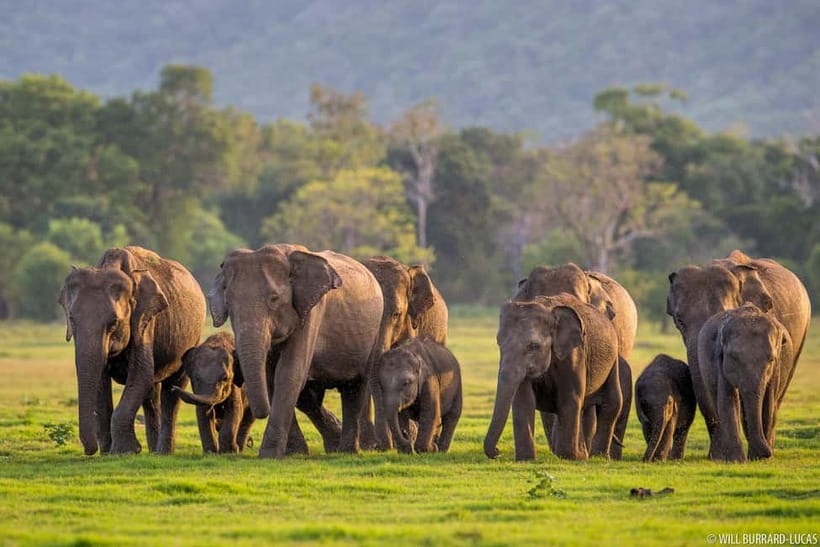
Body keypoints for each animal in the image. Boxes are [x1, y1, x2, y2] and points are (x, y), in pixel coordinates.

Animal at [58, 246, 206, 455]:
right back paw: (153, 452)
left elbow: (140, 375)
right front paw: (108, 453)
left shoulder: (145, 320)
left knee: (172, 388)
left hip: (193, 337)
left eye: (113, 322)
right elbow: (101, 382)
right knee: (152, 393)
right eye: (72, 319)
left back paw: (162, 452)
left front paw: (125, 452)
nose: (90, 450)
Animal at [208, 244, 383, 458]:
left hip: (373, 334)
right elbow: (271, 377)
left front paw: (269, 455)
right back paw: (334, 444)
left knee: (355, 388)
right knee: (310, 398)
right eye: (228, 302)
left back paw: (345, 452)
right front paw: (295, 453)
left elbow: (289, 373)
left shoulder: (312, 312)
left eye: (274, 299)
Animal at [484, 294, 622, 461]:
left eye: (533, 346)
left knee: (612, 402)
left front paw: (570, 457)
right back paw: (584, 453)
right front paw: (526, 459)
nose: (498, 451)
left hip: (613, 359)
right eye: (500, 343)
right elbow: (523, 399)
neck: (548, 310)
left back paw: (597, 457)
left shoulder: (575, 353)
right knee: (586, 408)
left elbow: (570, 396)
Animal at [697, 303, 795, 461]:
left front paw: (761, 458)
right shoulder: (720, 359)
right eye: (733, 357)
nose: (766, 453)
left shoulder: (776, 367)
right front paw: (736, 460)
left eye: (771, 359)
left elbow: (768, 401)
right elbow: (727, 399)